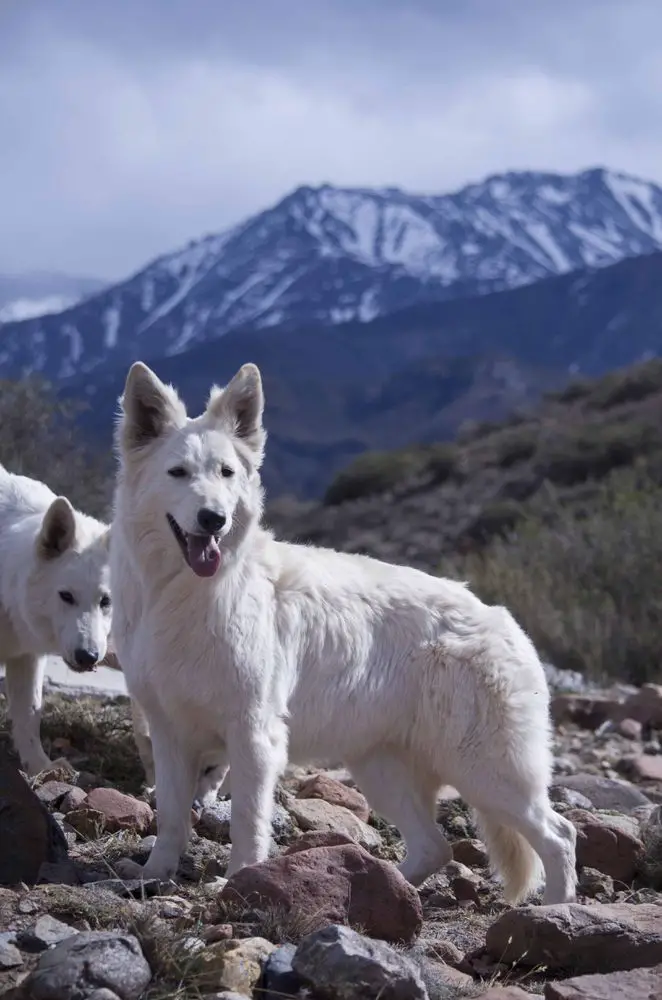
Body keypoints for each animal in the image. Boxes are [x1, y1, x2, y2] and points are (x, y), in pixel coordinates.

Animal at [0, 465, 112, 775]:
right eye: (66, 596)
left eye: (106, 601)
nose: (88, 657)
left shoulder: (25, 655)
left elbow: (30, 712)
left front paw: (41, 769)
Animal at [110, 361, 577, 904]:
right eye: (178, 473)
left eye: (226, 473)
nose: (214, 519)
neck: (182, 595)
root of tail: (505, 621)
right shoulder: (169, 734)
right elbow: (170, 816)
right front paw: (155, 874)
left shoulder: (253, 735)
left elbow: (247, 820)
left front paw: (239, 879)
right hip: (383, 772)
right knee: (435, 847)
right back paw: (393, 887)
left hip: (488, 774)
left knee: (559, 835)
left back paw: (556, 910)